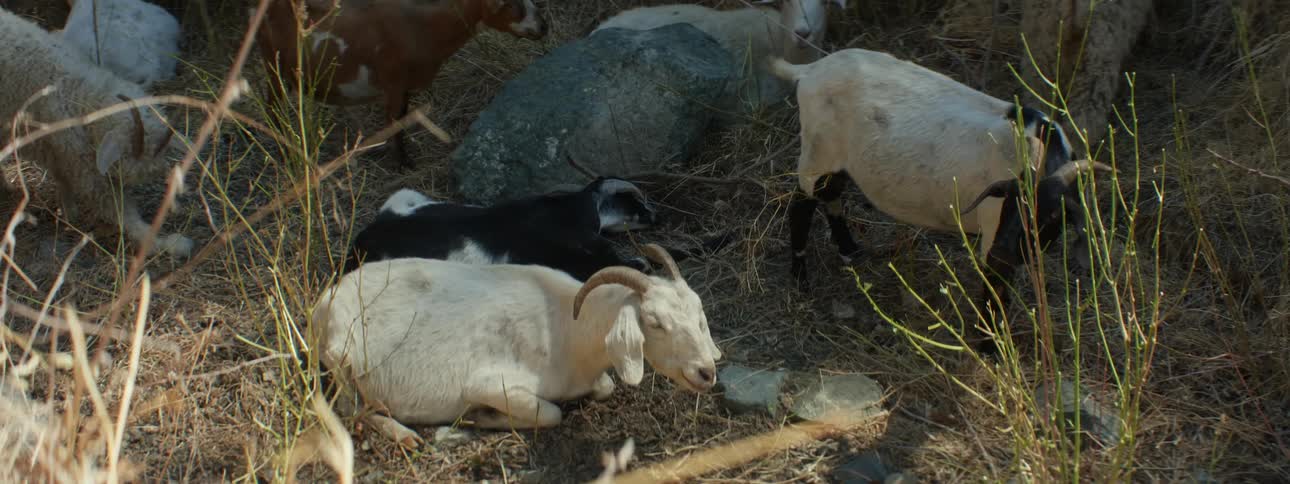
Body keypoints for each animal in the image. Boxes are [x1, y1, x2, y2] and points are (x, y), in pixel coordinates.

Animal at [0, 7, 190, 257]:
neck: (78, 91)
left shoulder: (59, 149)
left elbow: (63, 180)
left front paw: (68, 213)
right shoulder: (79, 160)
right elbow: (115, 208)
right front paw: (166, 242)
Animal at [255, 0, 547, 168]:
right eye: (509, 3)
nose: (543, 26)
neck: (426, 27)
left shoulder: (403, 87)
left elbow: (402, 119)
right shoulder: (393, 83)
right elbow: (394, 124)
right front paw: (404, 164)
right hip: (274, 66)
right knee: (272, 111)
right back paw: (285, 154)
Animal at [311, 244, 722, 446]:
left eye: (699, 313)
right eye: (654, 322)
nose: (706, 372)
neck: (568, 328)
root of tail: (325, 301)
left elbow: (604, 387)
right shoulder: (489, 383)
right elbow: (551, 414)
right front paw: (482, 417)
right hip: (342, 361)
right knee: (349, 410)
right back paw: (405, 434)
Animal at [770, 49, 1112, 350]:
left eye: (1052, 213)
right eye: (1008, 201)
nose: (1004, 250)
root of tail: (810, 70)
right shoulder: (993, 230)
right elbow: (995, 292)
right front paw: (991, 349)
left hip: (836, 160)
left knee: (831, 197)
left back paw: (849, 251)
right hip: (818, 152)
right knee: (802, 205)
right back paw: (800, 277)